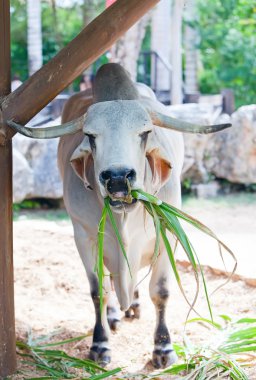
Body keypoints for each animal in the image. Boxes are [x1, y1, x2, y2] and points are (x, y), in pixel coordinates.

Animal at [9, 62, 230, 368]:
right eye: (90, 136)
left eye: (145, 133)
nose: (116, 179)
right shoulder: (84, 236)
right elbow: (98, 291)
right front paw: (100, 344)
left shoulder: (167, 236)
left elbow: (160, 291)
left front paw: (163, 348)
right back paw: (115, 313)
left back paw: (133, 305)